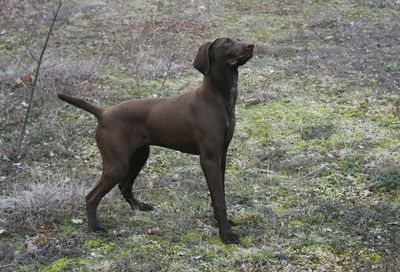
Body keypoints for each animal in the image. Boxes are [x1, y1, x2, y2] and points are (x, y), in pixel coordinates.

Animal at [57, 37, 253, 243]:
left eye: (239, 39)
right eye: (227, 43)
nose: (251, 46)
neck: (218, 98)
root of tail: (103, 113)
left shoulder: (221, 156)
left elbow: (219, 196)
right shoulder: (210, 159)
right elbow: (220, 200)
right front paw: (226, 234)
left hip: (139, 156)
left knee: (124, 185)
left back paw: (138, 206)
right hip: (117, 165)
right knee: (91, 197)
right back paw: (95, 227)